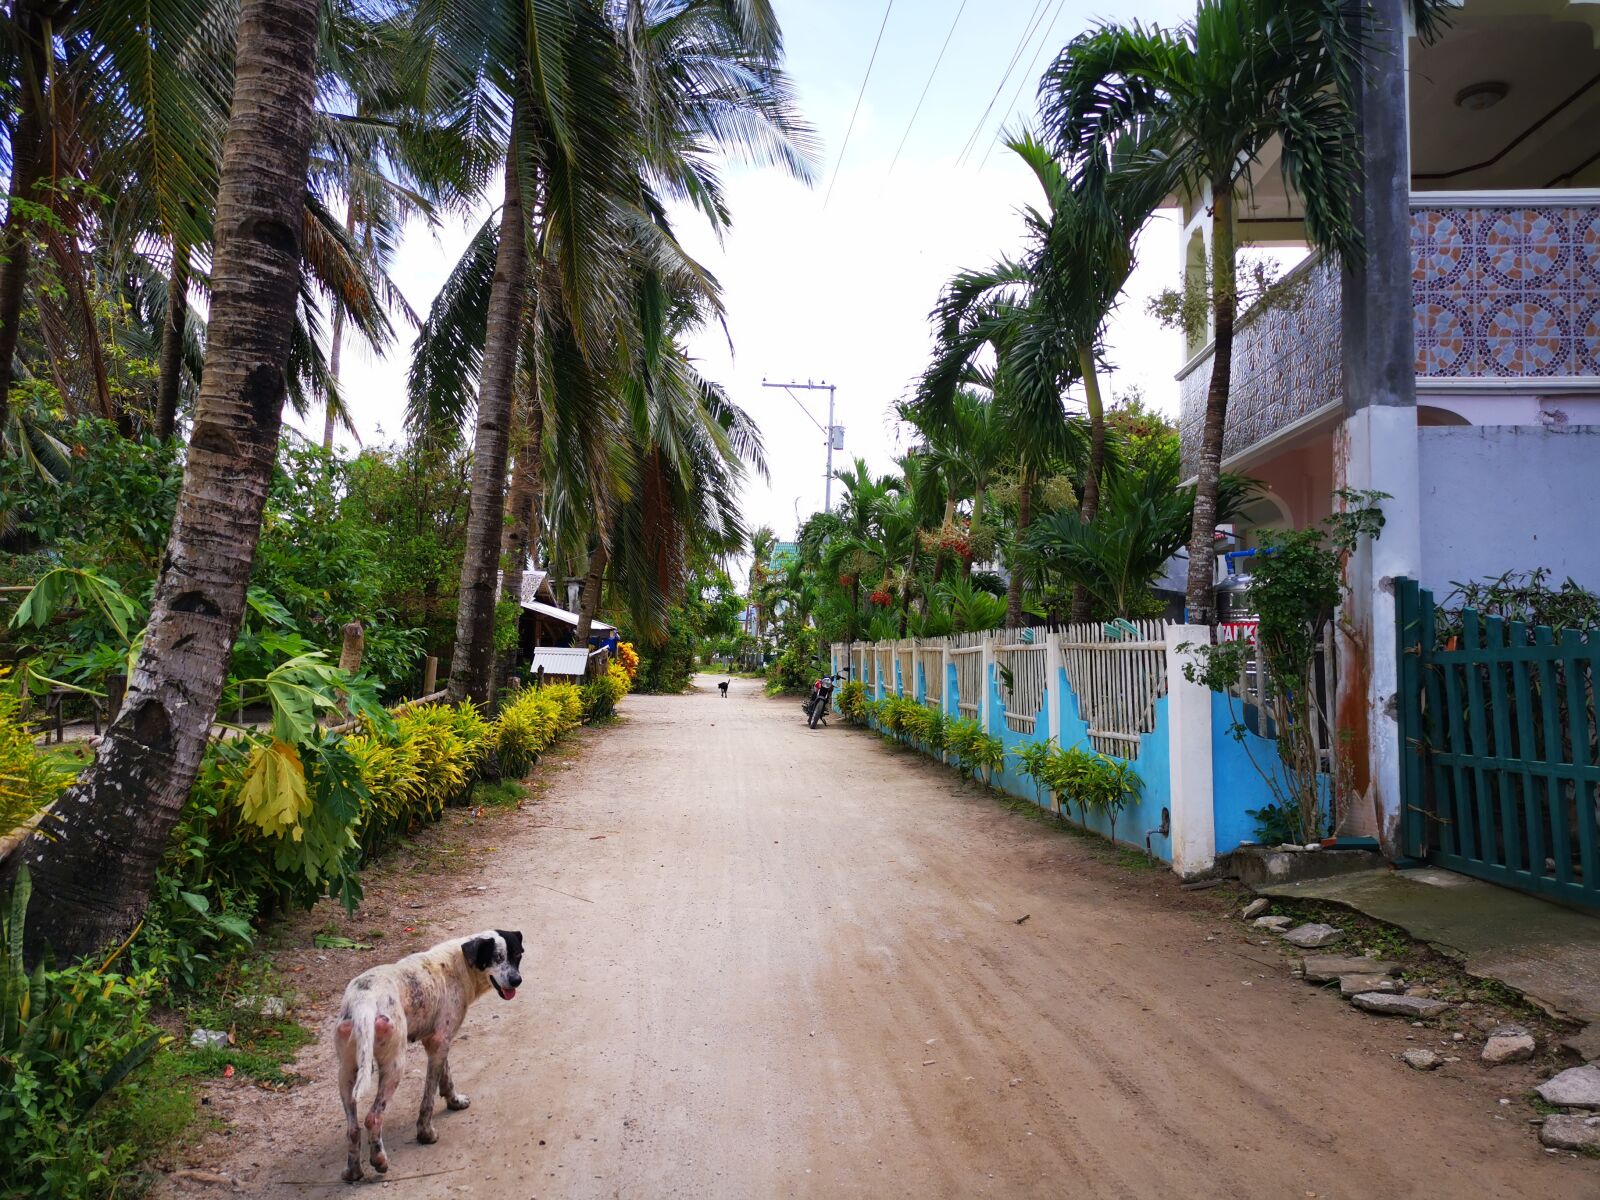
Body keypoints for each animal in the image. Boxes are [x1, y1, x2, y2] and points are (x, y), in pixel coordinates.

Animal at [332, 928, 524, 1184]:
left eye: (517, 956)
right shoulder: (440, 1042)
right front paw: (426, 1133)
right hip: (394, 1065)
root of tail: (364, 1001)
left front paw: (454, 1102)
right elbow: (429, 1099)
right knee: (373, 1117)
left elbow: (446, 1076)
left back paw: (352, 1171)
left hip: (347, 1071)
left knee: (352, 1128)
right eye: (496, 958)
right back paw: (379, 1160)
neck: (461, 963)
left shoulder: (436, 1043)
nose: (517, 980)